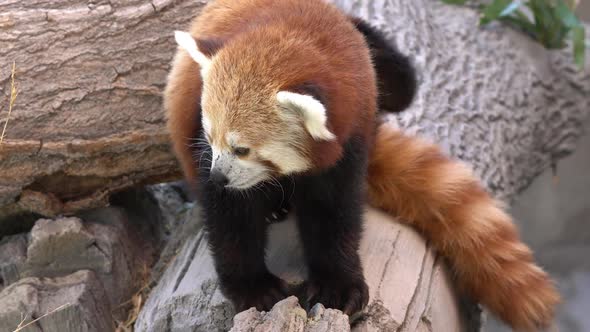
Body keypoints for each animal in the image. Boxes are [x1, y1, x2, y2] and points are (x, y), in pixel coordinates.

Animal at [165, 0, 560, 330]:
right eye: (210, 136)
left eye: (243, 149)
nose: (218, 176)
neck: (294, 30)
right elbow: (231, 218)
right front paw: (254, 287)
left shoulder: (352, 133)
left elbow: (334, 213)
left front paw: (338, 286)